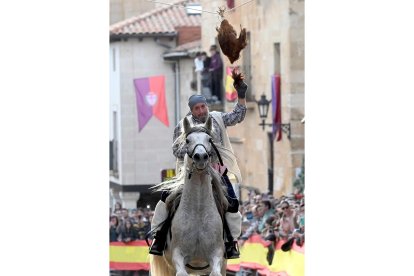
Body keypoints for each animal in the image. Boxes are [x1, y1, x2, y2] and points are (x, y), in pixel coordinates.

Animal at [151, 117, 230, 276]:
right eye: (187, 140)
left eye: (209, 139)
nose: (201, 157)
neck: (198, 212)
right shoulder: (177, 256)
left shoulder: (217, 255)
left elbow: (215, 271)